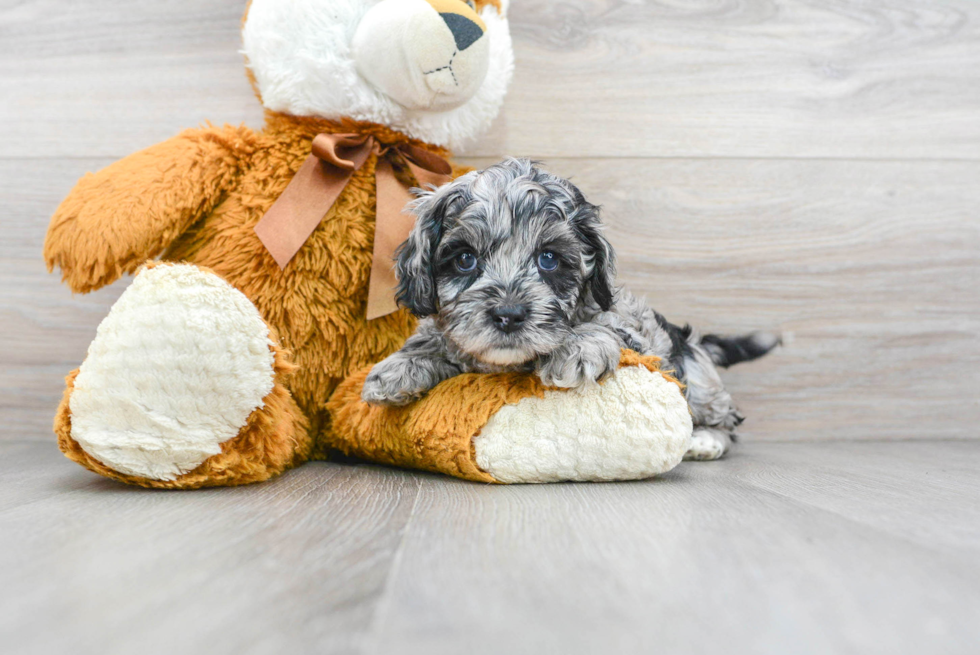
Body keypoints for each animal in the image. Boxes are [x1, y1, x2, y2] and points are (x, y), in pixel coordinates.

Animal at [362, 159, 780, 462]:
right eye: (465, 259)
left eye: (549, 259)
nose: (508, 315)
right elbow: (436, 340)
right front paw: (398, 368)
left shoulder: (630, 328)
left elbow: (603, 327)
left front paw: (576, 347)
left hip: (699, 379)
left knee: (724, 419)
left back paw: (705, 441)